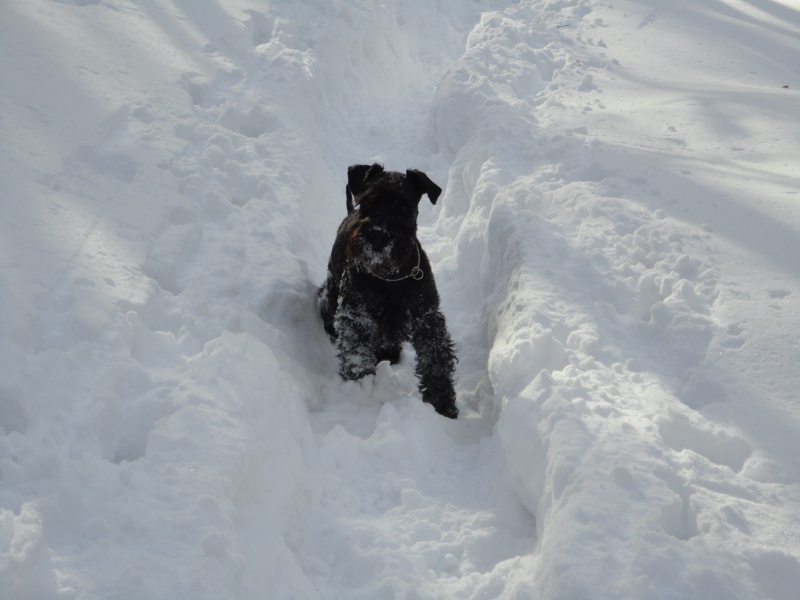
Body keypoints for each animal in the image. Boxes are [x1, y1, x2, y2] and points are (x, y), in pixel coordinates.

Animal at [318, 163, 460, 418]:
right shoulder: (356, 316)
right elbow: (357, 352)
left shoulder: (426, 317)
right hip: (332, 290)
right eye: (368, 201)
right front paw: (361, 387)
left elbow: (435, 358)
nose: (378, 235)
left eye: (404, 207)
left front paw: (443, 405)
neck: (389, 277)